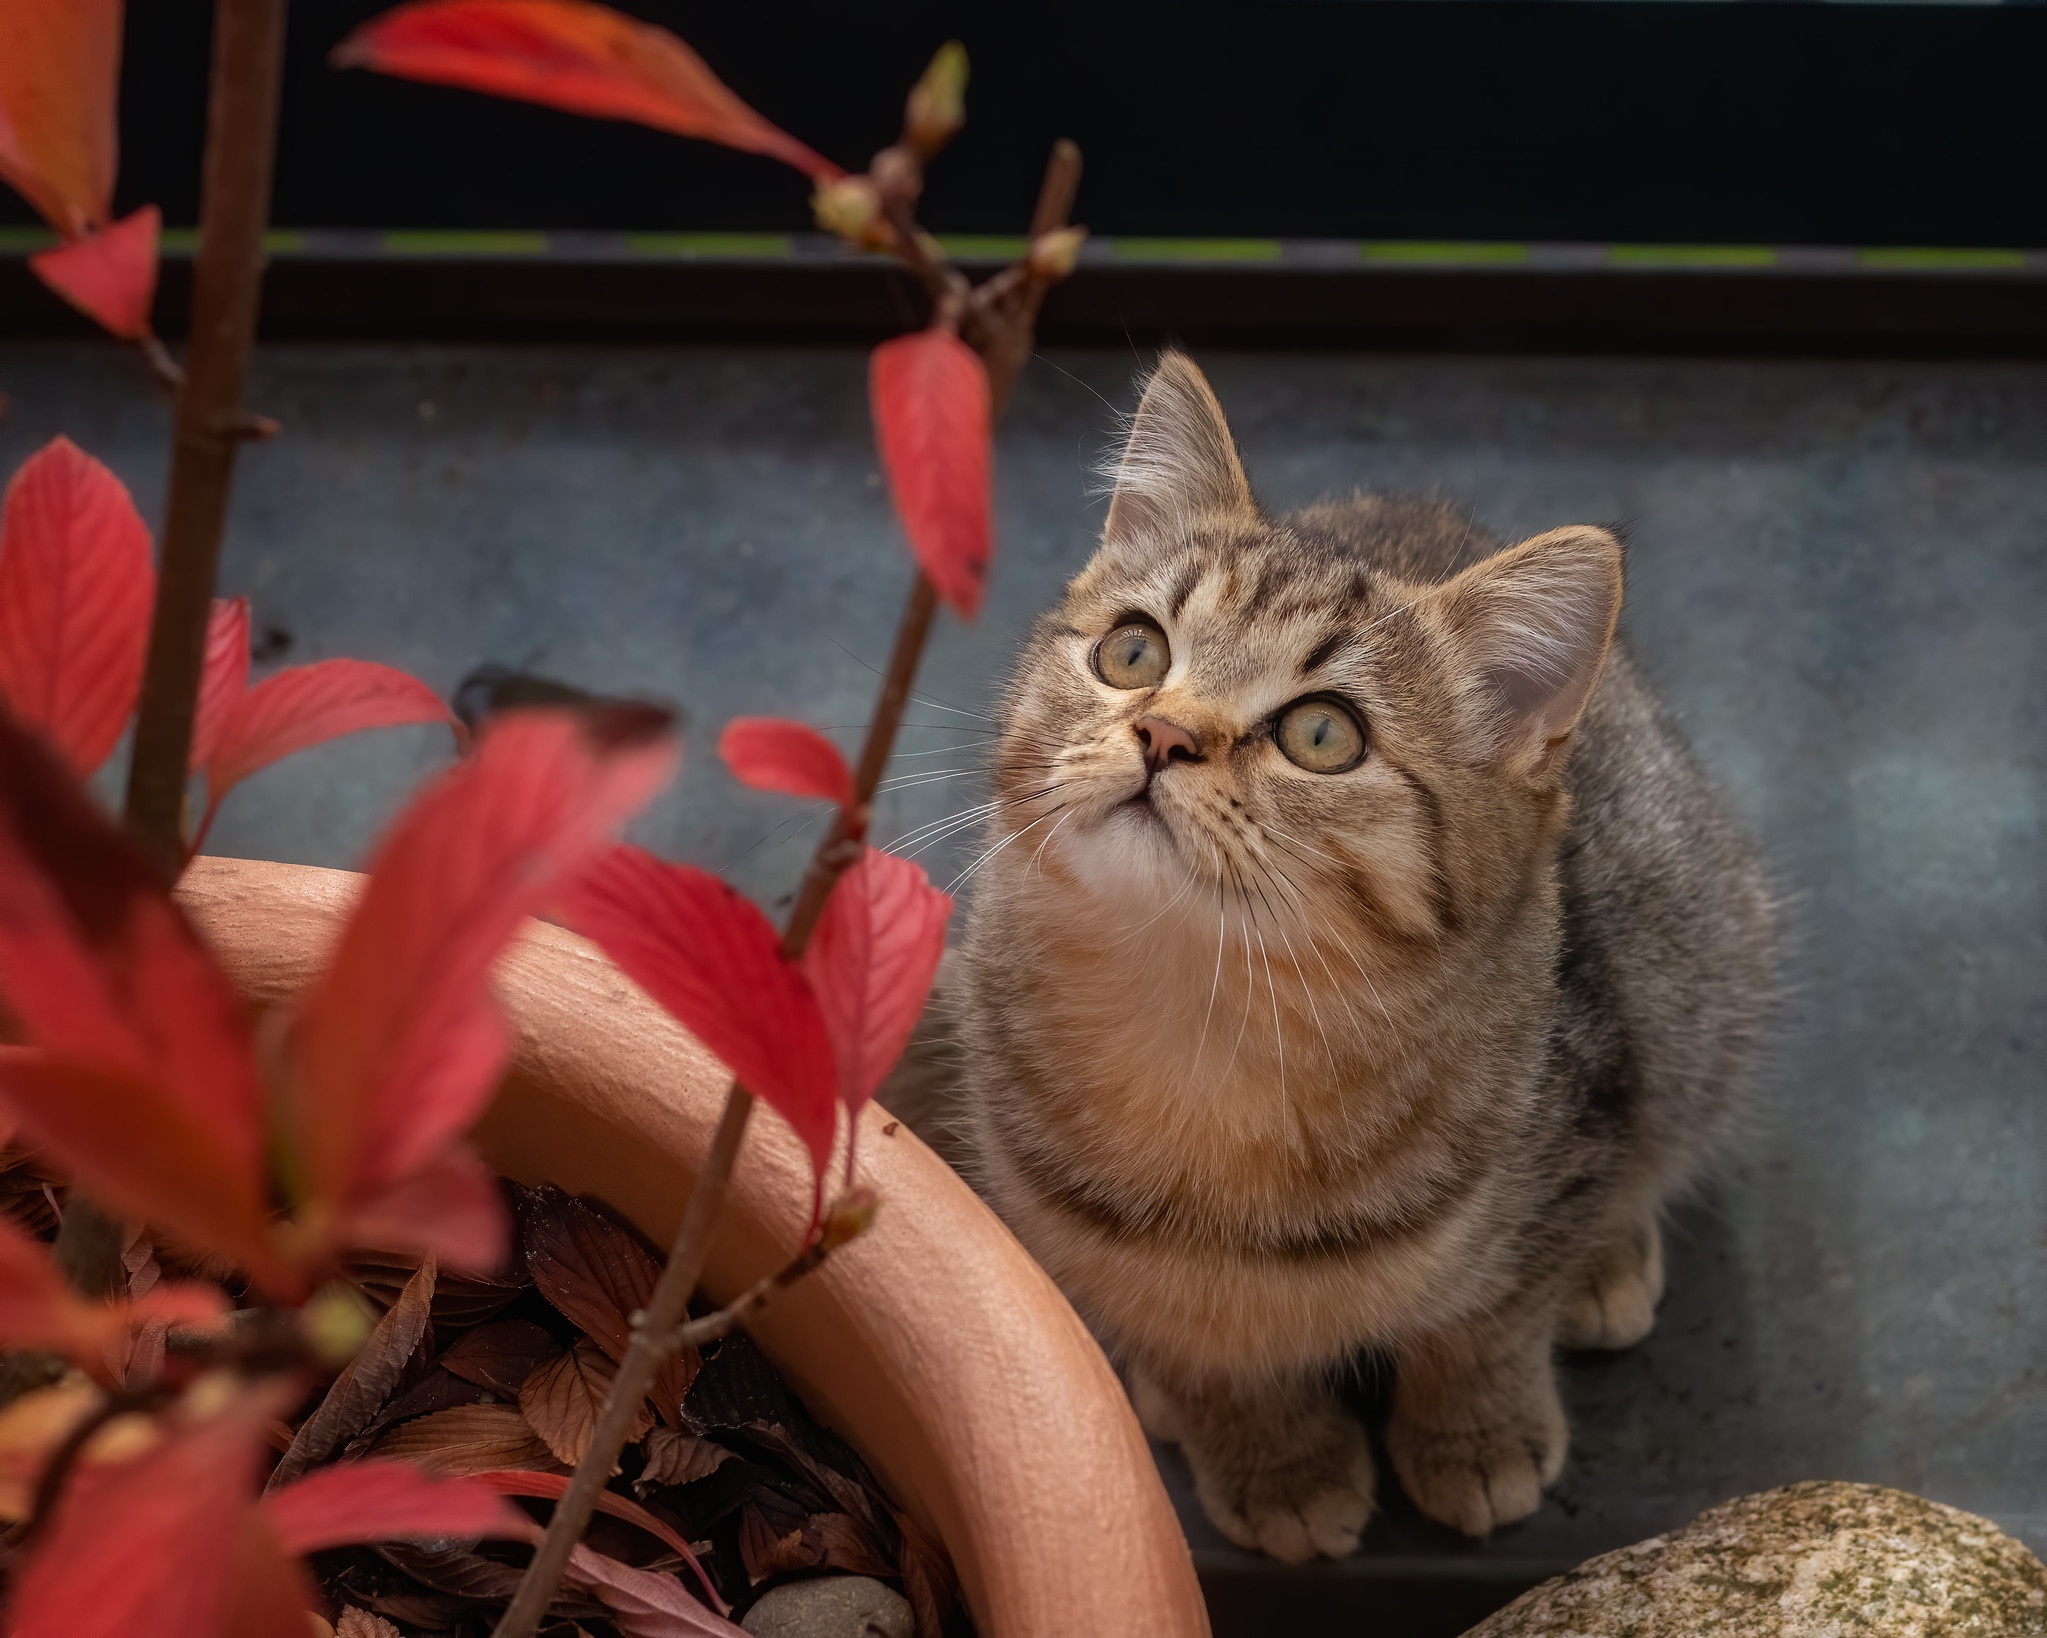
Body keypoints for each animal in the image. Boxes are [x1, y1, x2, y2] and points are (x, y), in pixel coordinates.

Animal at [949, 354, 1768, 1564]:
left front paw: (1473, 1437)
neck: (1206, 1023)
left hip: (1697, 970)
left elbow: (1485, 1322)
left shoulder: (1560, 1129)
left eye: (1323, 734)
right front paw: (1271, 1459)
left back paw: (1610, 1259)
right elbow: (1204, 1346)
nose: (1163, 734)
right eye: (1132, 651)